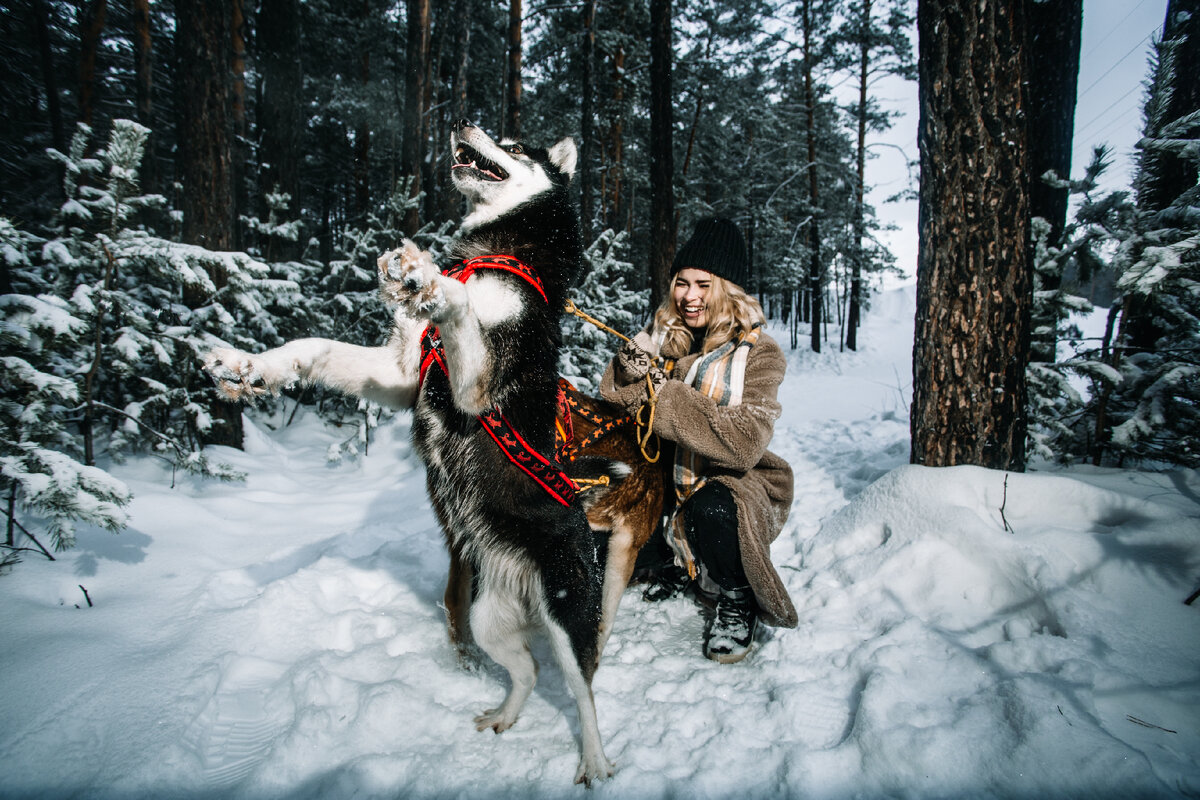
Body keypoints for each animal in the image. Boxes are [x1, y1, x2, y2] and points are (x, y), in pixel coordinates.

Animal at [204, 122, 619, 786]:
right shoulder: (401, 373)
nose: (465, 123)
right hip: (487, 617)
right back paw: (505, 715)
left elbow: (460, 305)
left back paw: (595, 762)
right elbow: (310, 347)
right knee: (527, 671)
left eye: (513, 144)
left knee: (584, 695)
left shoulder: (475, 389)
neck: (497, 252)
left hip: (566, 611)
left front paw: (428, 279)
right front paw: (247, 366)